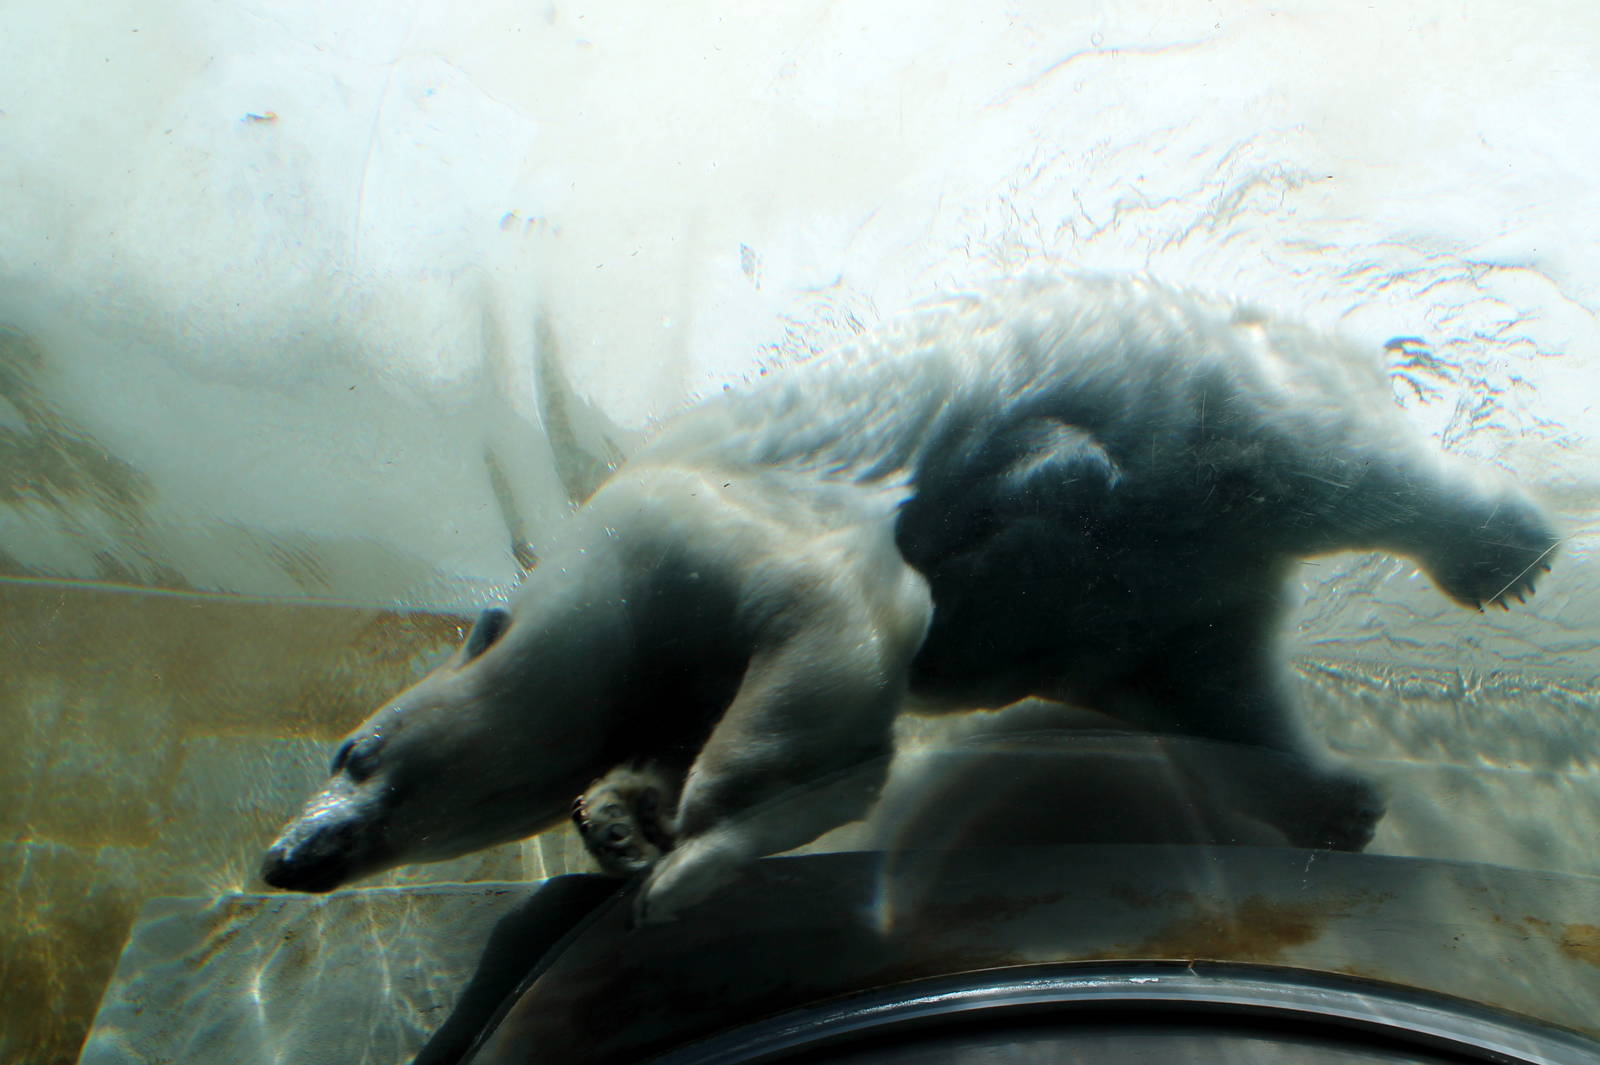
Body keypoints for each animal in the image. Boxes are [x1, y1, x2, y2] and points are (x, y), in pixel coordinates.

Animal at [260, 272, 1557, 925]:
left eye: (351, 748)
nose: (284, 857)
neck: (607, 583)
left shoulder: (700, 525)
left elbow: (828, 635)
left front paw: (692, 848)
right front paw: (625, 823)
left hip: (1200, 406)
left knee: (1354, 469)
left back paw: (1505, 552)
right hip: (1145, 609)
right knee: (1217, 688)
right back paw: (1331, 801)